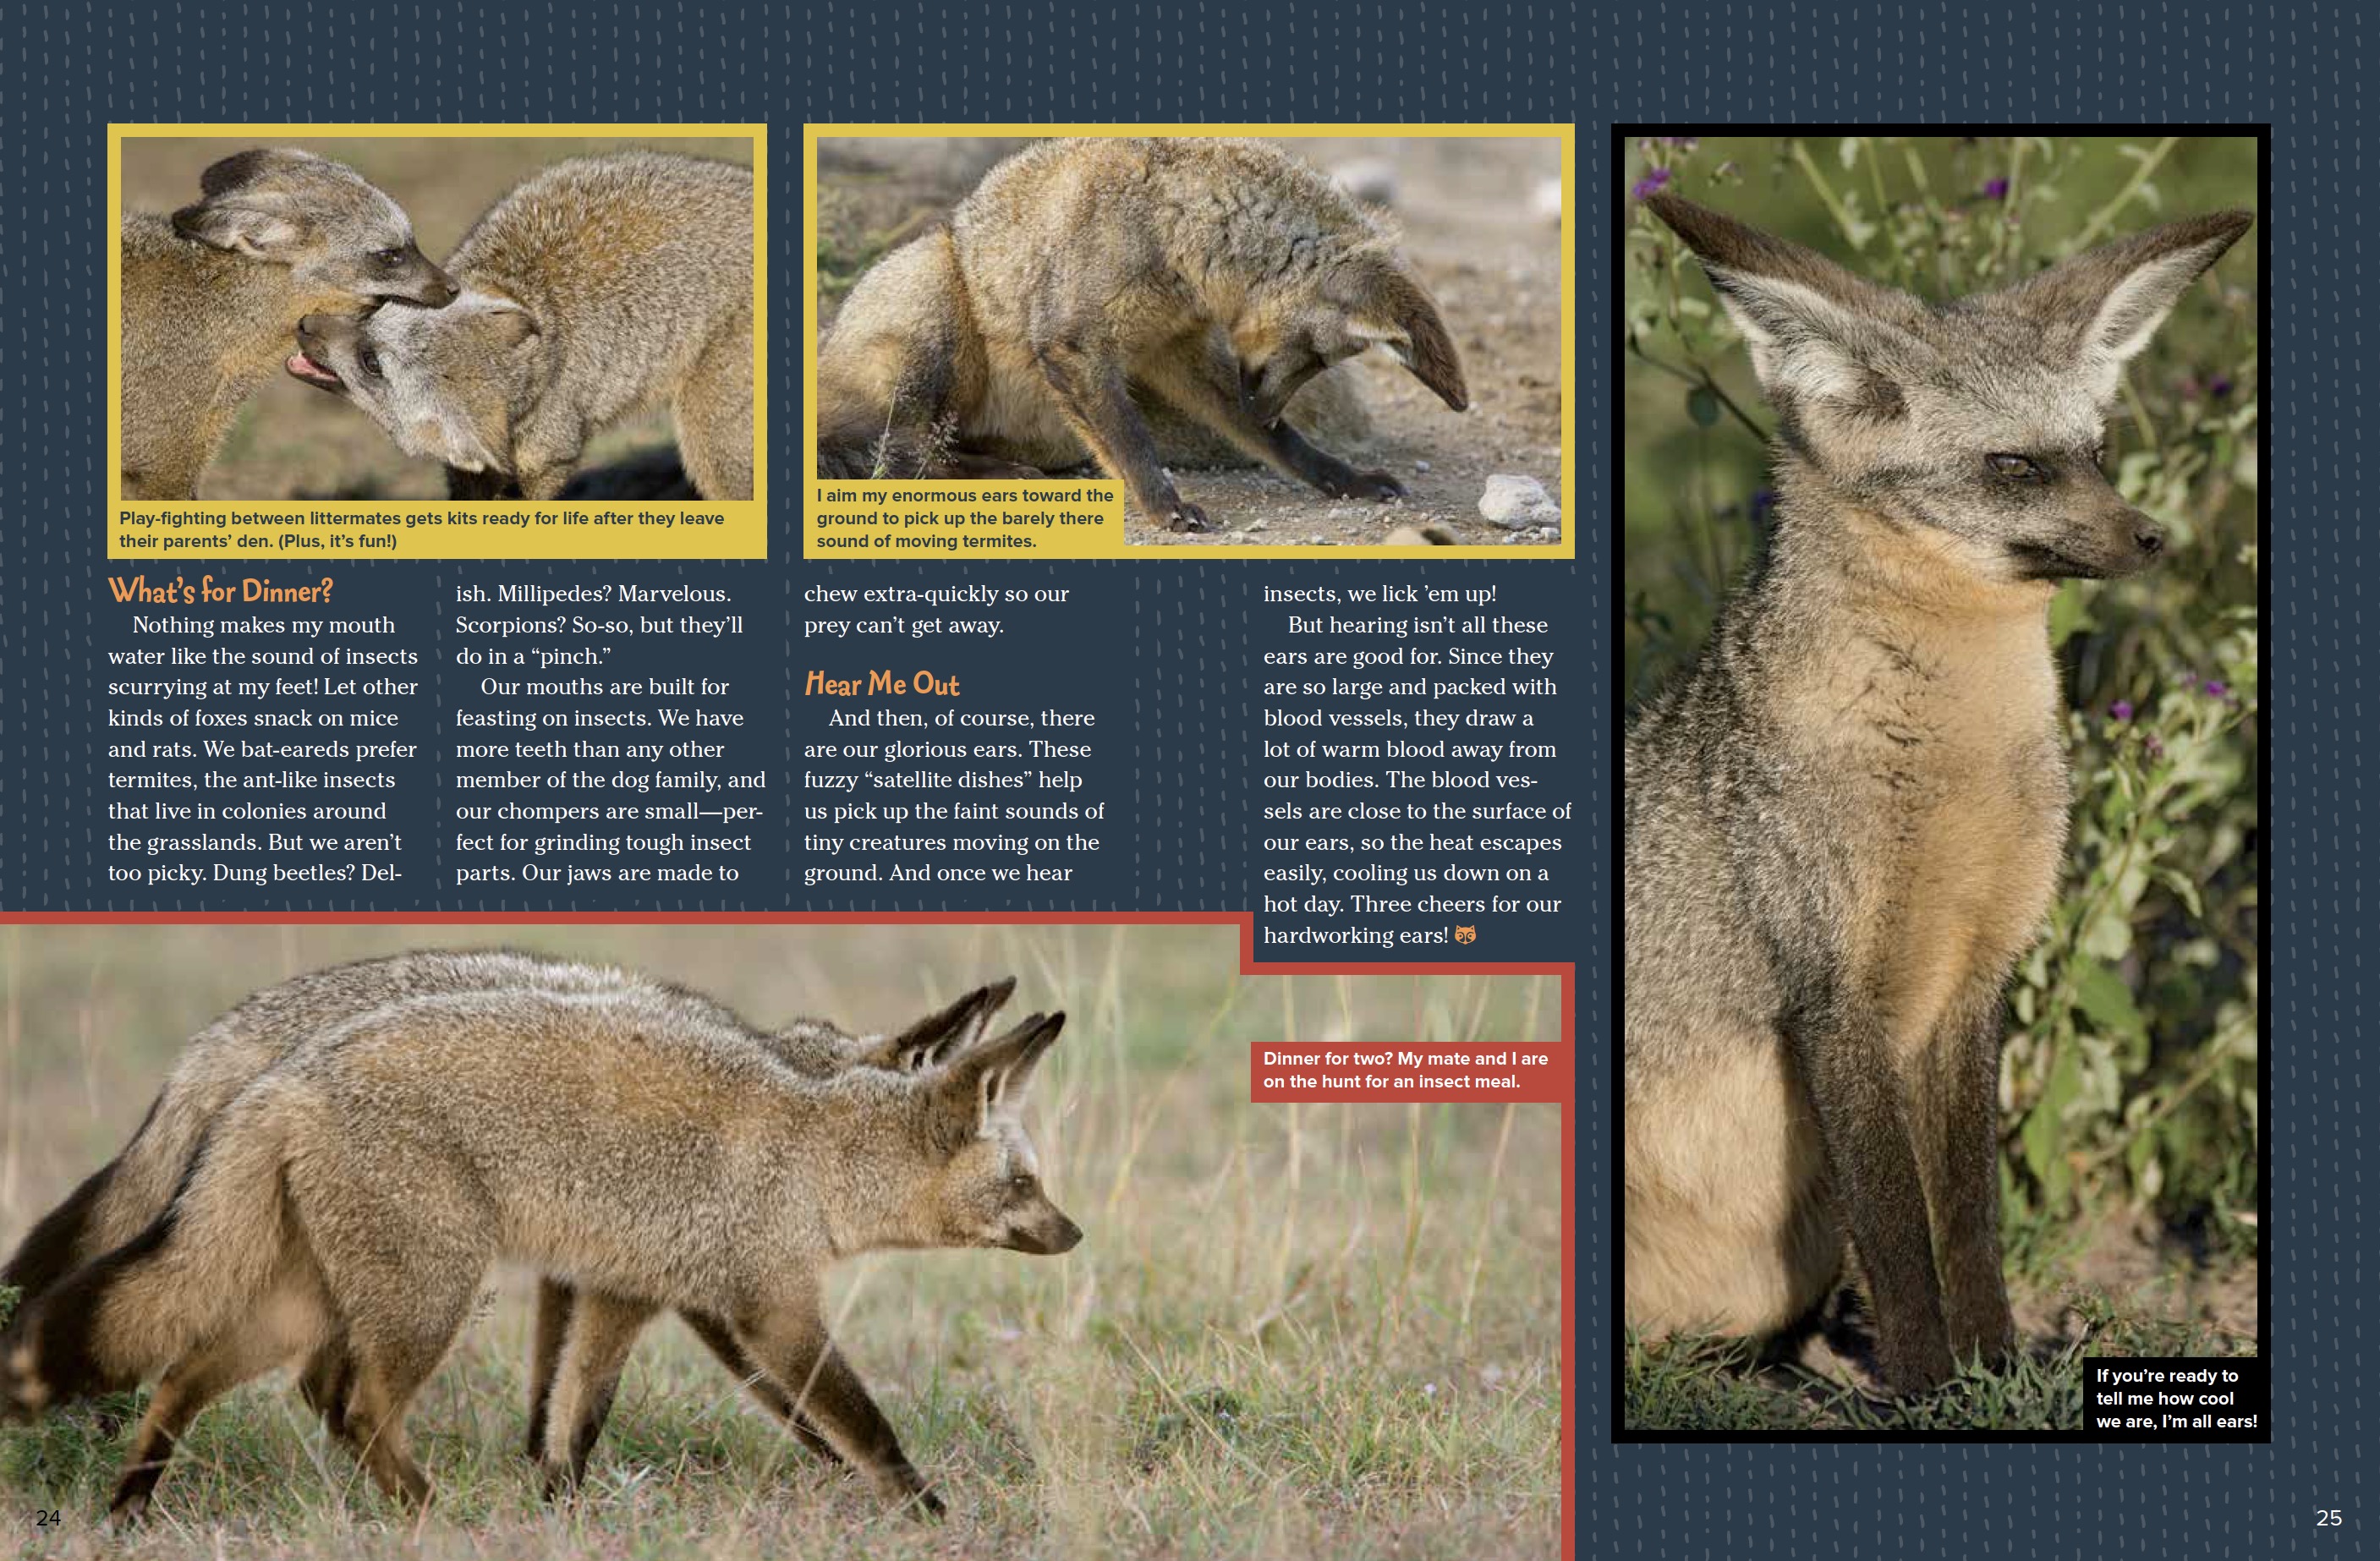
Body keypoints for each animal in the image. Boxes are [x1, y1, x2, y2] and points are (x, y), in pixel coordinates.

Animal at [0, 955, 1033, 1514]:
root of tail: (222, 1054)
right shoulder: (700, 1282)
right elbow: (779, 1391)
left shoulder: (604, 1270)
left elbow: (565, 1388)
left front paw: (546, 1480)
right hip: (402, 1275)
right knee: (317, 1382)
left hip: (319, 1280)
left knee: (273, 1376)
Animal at [286, 152, 753, 501]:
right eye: (374, 312)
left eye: (373, 364)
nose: (306, 324)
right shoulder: (471, 470)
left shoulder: (548, 457)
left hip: (713, 448)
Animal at [816, 137, 1469, 532]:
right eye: (1313, 355)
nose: (1262, 413)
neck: (1170, 225)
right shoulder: (1073, 345)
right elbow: (1131, 441)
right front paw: (1165, 507)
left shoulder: (1179, 352)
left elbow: (1288, 446)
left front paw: (1345, 478)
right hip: (937, 310)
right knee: (903, 461)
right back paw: (1000, 478)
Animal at [1623, 191, 2251, 1393]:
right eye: (2015, 466)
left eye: (2097, 452)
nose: (2153, 536)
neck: (1950, 769)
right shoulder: (1838, 1000)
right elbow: (1898, 1227)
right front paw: (1924, 1382)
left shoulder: (1974, 980)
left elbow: (1966, 1214)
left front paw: (1995, 1366)